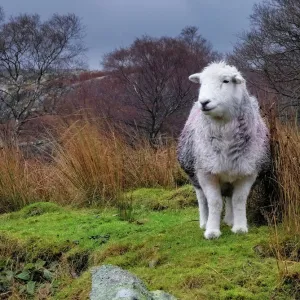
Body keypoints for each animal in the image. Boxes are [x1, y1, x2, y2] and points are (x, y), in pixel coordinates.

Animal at [178, 61, 270, 239]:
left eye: (226, 81)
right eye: (201, 82)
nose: (203, 102)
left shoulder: (248, 172)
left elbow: (238, 200)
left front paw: (240, 228)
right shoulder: (206, 172)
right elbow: (214, 202)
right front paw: (212, 231)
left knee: (229, 198)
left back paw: (229, 220)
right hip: (194, 174)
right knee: (202, 199)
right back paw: (204, 222)